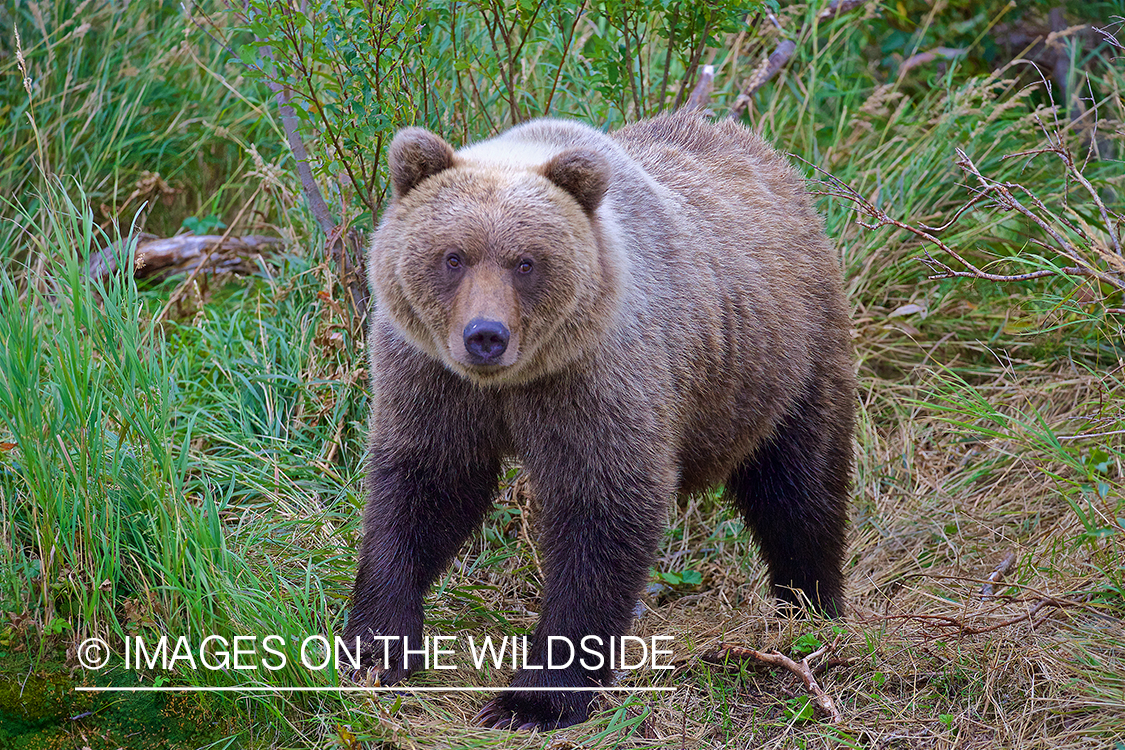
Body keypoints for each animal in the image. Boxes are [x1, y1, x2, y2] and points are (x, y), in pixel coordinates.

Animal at [344, 108, 850, 728]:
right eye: (453, 257)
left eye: (526, 262)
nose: (485, 335)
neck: (510, 385)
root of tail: (763, 152)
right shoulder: (433, 380)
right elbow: (424, 488)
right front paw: (376, 648)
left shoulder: (596, 380)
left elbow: (601, 514)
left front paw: (533, 699)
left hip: (784, 361)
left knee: (800, 488)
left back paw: (811, 607)